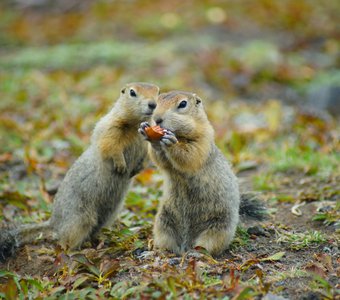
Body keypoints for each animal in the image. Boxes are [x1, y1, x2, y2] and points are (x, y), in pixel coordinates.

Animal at [0, 82, 159, 260]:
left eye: (157, 91)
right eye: (132, 92)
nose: (153, 104)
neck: (135, 124)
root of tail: (54, 222)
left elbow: (146, 155)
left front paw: (137, 169)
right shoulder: (110, 127)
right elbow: (110, 145)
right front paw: (121, 165)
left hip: (107, 215)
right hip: (80, 219)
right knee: (65, 243)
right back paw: (80, 250)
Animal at [139, 91, 266, 255]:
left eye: (183, 104)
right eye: (156, 102)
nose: (157, 119)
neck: (181, 135)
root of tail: (185, 245)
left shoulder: (203, 140)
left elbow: (190, 155)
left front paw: (171, 142)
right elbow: (160, 159)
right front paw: (147, 132)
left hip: (218, 227)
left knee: (208, 246)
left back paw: (196, 253)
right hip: (163, 222)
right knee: (168, 244)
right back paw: (157, 251)